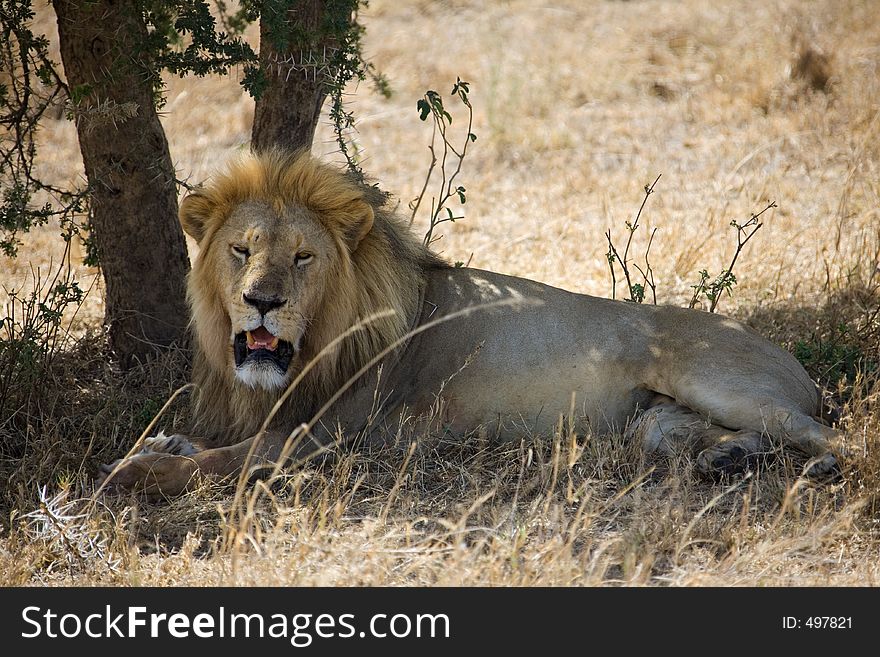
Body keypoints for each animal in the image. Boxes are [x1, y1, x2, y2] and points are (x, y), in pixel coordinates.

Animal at [99, 150, 844, 498]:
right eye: (241, 250)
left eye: (303, 257)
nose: (260, 300)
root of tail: (794, 362)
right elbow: (209, 445)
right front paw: (165, 442)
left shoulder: (340, 435)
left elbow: (228, 458)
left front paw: (136, 471)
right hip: (654, 422)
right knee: (708, 436)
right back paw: (727, 458)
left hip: (711, 378)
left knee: (822, 430)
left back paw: (826, 463)